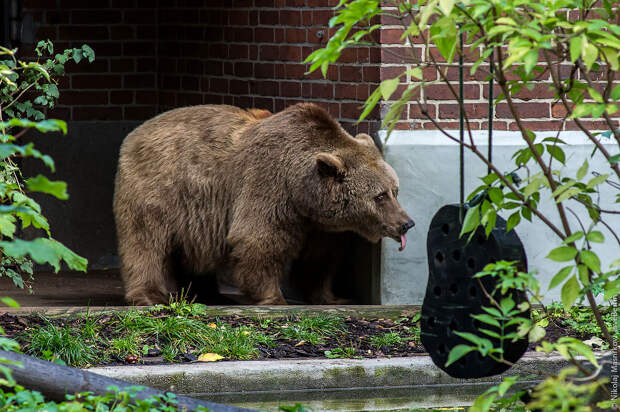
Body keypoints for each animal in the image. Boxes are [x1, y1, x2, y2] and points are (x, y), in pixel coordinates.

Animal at [114, 104, 414, 306]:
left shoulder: (320, 224)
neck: (303, 194)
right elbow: (258, 239)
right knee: (146, 241)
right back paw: (150, 295)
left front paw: (332, 296)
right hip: (160, 190)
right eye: (380, 196)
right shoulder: (268, 184)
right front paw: (273, 297)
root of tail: (134, 133)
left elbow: (320, 258)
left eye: (395, 190)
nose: (406, 223)